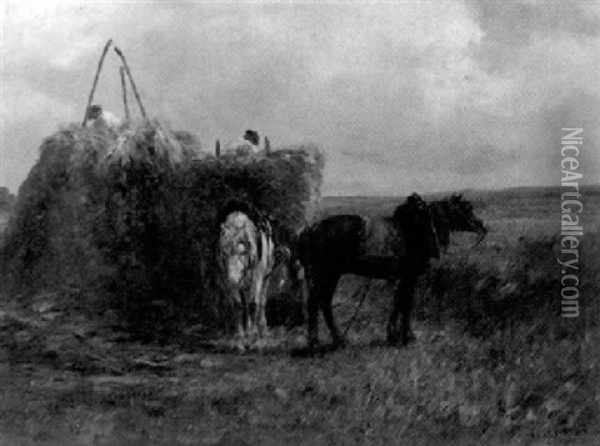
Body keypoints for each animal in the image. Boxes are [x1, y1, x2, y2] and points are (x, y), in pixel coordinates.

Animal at [296, 193, 440, 350]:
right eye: (422, 214)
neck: (408, 233)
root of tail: (313, 228)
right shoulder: (408, 276)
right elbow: (404, 305)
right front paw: (403, 337)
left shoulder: (405, 278)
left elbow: (400, 304)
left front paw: (396, 335)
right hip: (325, 274)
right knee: (317, 303)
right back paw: (318, 343)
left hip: (331, 275)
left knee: (323, 303)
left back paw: (337, 340)